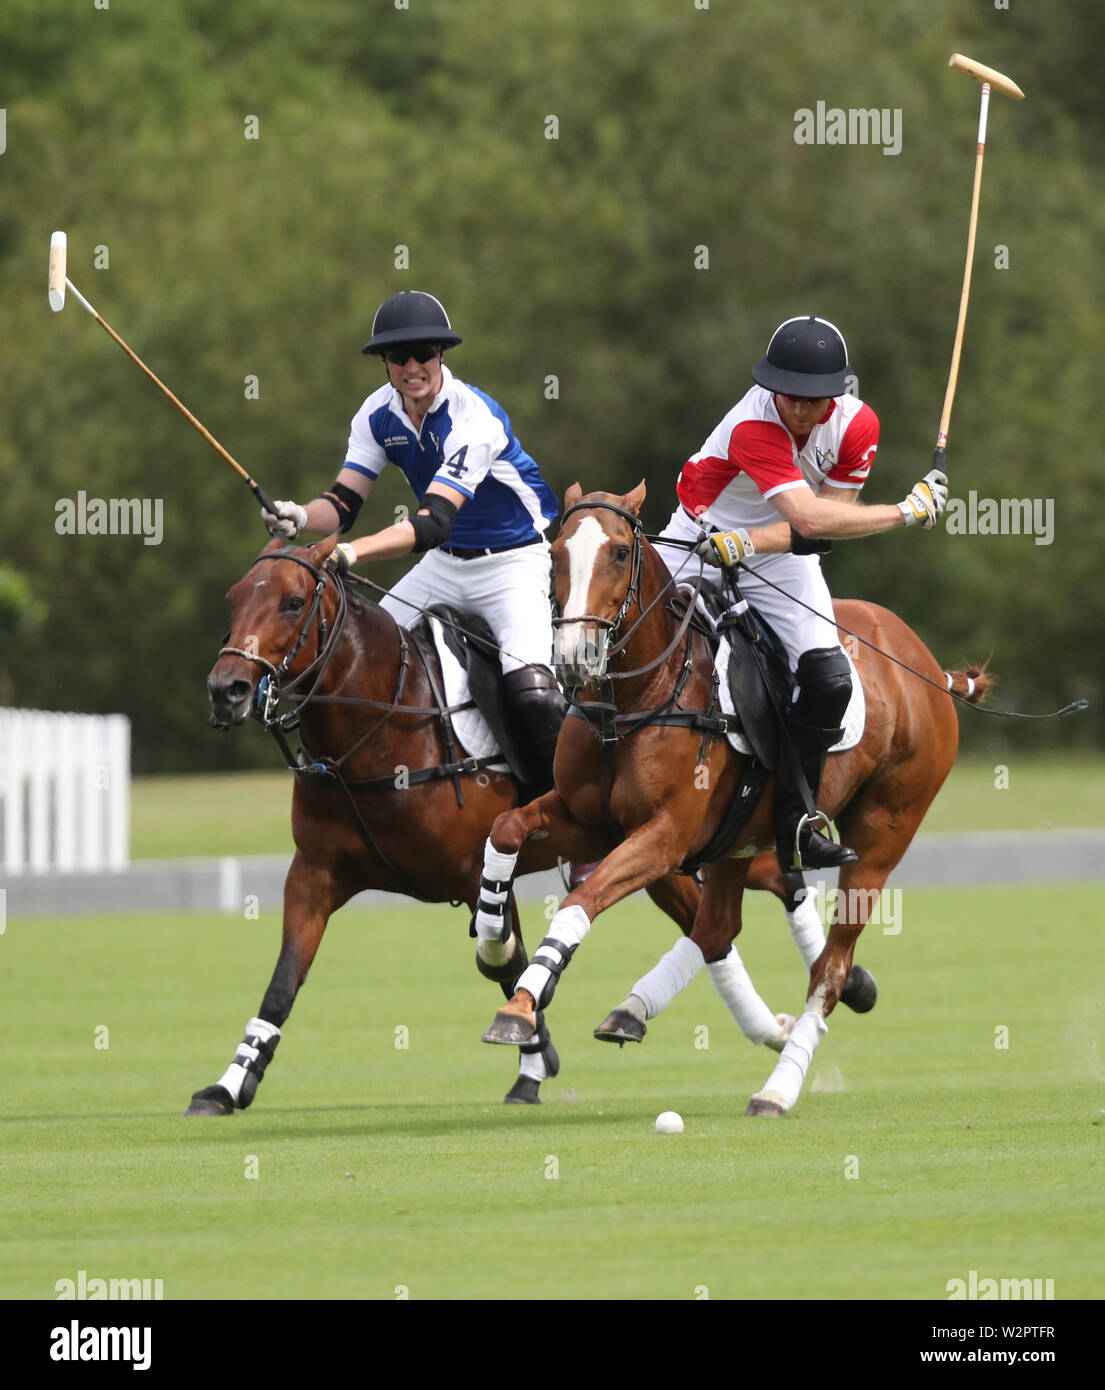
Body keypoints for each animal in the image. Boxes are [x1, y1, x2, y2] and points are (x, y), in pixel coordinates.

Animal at [186, 530, 789, 1117]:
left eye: (292, 602)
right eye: (234, 599)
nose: (226, 689)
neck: (383, 727)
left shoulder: (476, 873)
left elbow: (507, 959)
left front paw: (534, 1057)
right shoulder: (313, 875)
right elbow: (283, 982)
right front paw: (227, 1087)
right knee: (711, 929)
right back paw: (773, 1030)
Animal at [480, 483, 989, 1112]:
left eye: (621, 552)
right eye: (554, 553)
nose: (576, 658)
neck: (636, 699)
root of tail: (928, 668)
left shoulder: (665, 836)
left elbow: (581, 901)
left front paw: (518, 1007)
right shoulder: (589, 821)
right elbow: (505, 828)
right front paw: (495, 947)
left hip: (883, 834)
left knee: (830, 968)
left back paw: (777, 1088)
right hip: (736, 839)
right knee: (717, 928)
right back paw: (634, 1010)